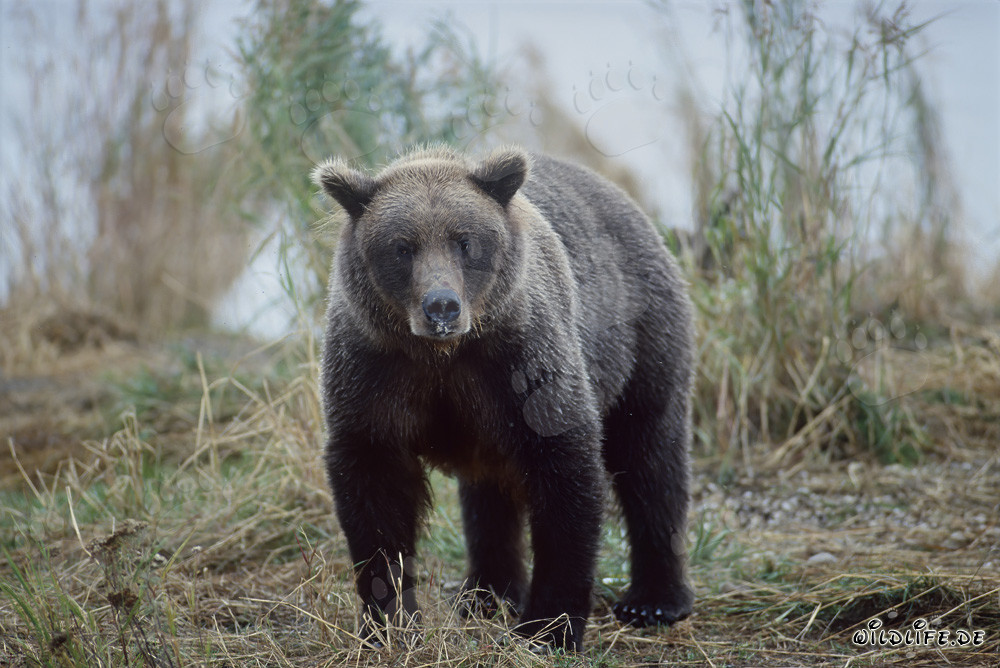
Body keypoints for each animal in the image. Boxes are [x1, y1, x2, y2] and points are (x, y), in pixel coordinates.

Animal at [312, 145, 694, 651]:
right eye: (402, 246)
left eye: (465, 241)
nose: (441, 306)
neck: (443, 356)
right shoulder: (375, 373)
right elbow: (374, 491)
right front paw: (388, 623)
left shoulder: (523, 365)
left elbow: (565, 474)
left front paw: (549, 627)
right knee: (488, 499)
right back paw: (486, 594)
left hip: (641, 338)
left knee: (650, 459)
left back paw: (654, 600)